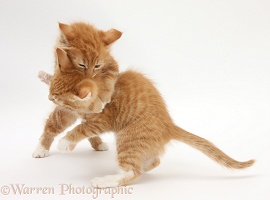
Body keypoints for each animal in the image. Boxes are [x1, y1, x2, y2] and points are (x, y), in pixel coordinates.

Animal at [32, 21, 254, 188]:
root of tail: (169, 125)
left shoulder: (102, 120)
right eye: (52, 95)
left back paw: (106, 180)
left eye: (56, 98)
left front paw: (66, 142)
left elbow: (83, 128)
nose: (49, 99)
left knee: (132, 171)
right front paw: (45, 75)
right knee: (153, 161)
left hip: (128, 138)